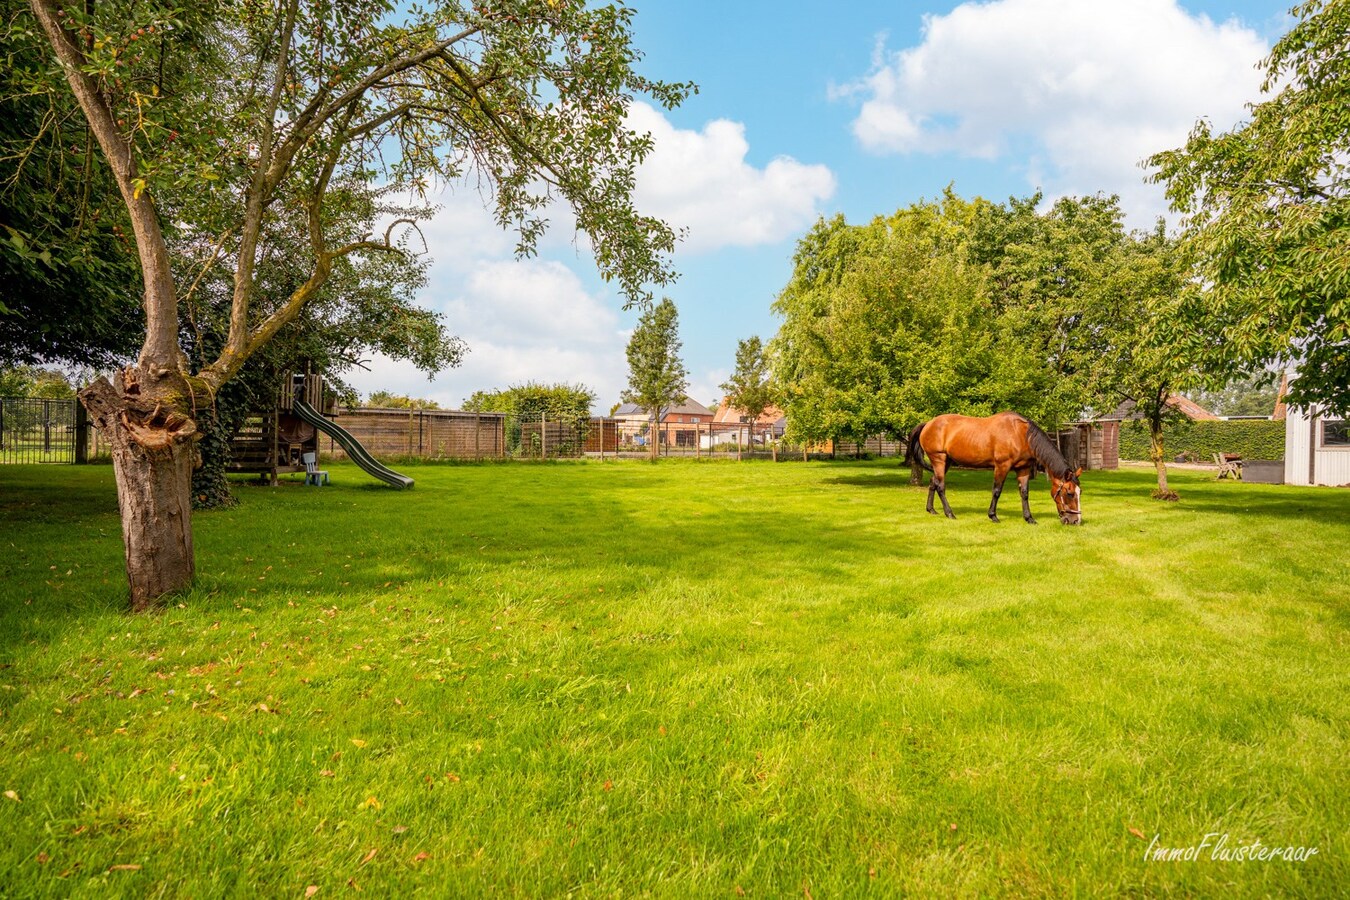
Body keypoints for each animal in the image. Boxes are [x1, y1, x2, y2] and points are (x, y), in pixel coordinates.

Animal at [907, 415, 1085, 528]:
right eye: (1069, 493)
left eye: (1079, 492)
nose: (1075, 520)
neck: (1020, 434)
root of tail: (928, 424)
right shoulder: (1002, 466)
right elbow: (997, 491)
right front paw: (993, 516)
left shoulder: (1023, 468)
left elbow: (1024, 493)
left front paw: (1029, 518)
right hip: (939, 459)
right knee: (941, 486)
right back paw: (949, 513)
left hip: (946, 462)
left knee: (933, 482)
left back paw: (931, 510)